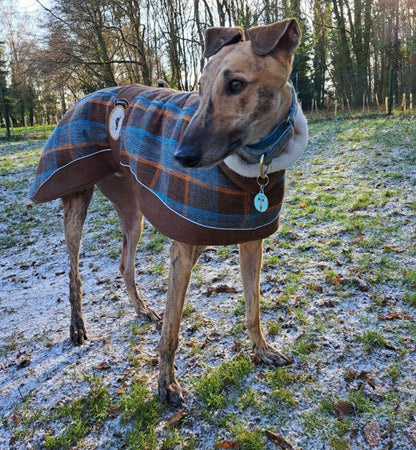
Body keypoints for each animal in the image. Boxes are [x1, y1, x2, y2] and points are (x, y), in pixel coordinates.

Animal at [29, 18, 308, 404]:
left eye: (236, 84)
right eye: (200, 88)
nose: (180, 157)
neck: (255, 165)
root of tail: (77, 99)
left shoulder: (252, 239)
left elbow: (253, 306)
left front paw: (263, 350)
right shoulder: (184, 249)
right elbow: (172, 331)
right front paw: (166, 385)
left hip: (132, 211)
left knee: (124, 263)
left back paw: (142, 309)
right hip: (75, 197)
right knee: (73, 272)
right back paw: (78, 326)